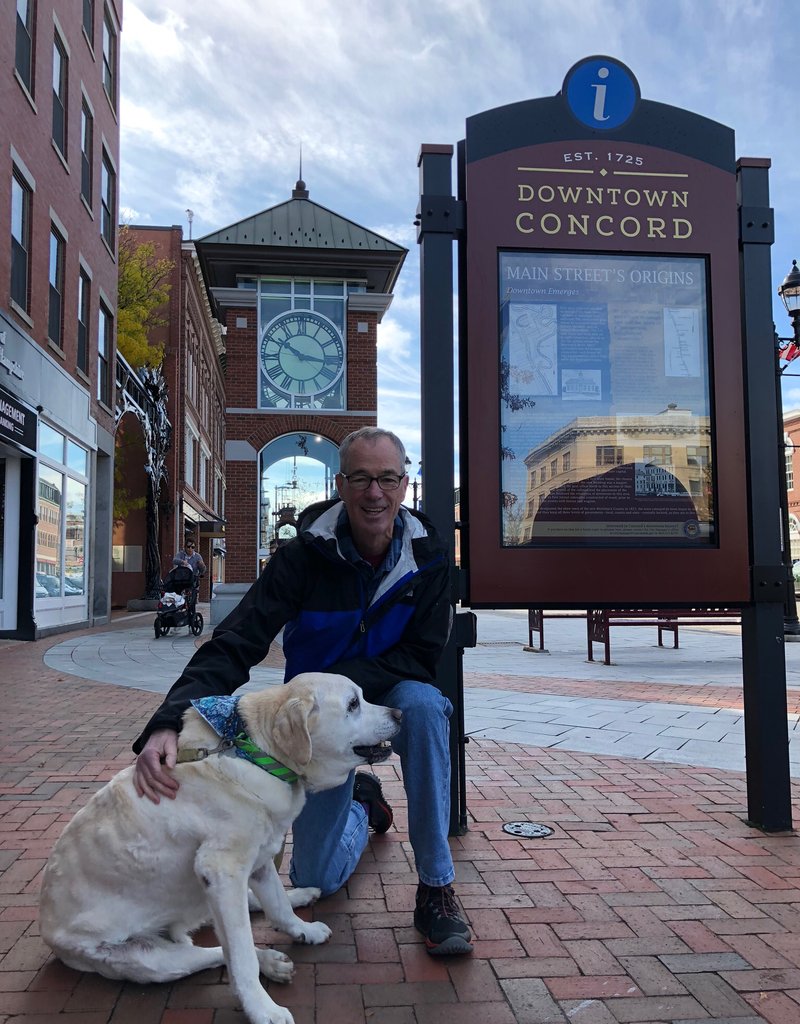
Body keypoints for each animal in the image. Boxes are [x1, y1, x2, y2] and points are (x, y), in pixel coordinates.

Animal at [38, 671, 399, 1024]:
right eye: (353, 704)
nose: (398, 713)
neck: (255, 754)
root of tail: (47, 930)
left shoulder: (258, 857)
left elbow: (278, 906)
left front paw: (303, 930)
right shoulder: (222, 871)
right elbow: (241, 955)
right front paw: (262, 1009)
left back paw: (301, 896)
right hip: (151, 961)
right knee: (217, 953)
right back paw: (270, 961)